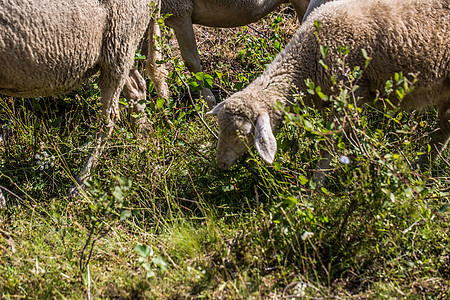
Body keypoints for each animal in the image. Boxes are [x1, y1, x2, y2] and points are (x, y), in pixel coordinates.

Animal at [0, 0, 163, 195]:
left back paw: (81, 183)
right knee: (137, 88)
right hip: (120, 50)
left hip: (120, 40)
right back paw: (142, 145)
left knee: (109, 118)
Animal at [207, 0, 450, 176]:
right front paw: (359, 161)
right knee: (443, 131)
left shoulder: (349, 95)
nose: (220, 164)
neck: (308, 58)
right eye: (220, 127)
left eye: (243, 134)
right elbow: (352, 136)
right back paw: (418, 169)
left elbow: (329, 145)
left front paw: (316, 188)